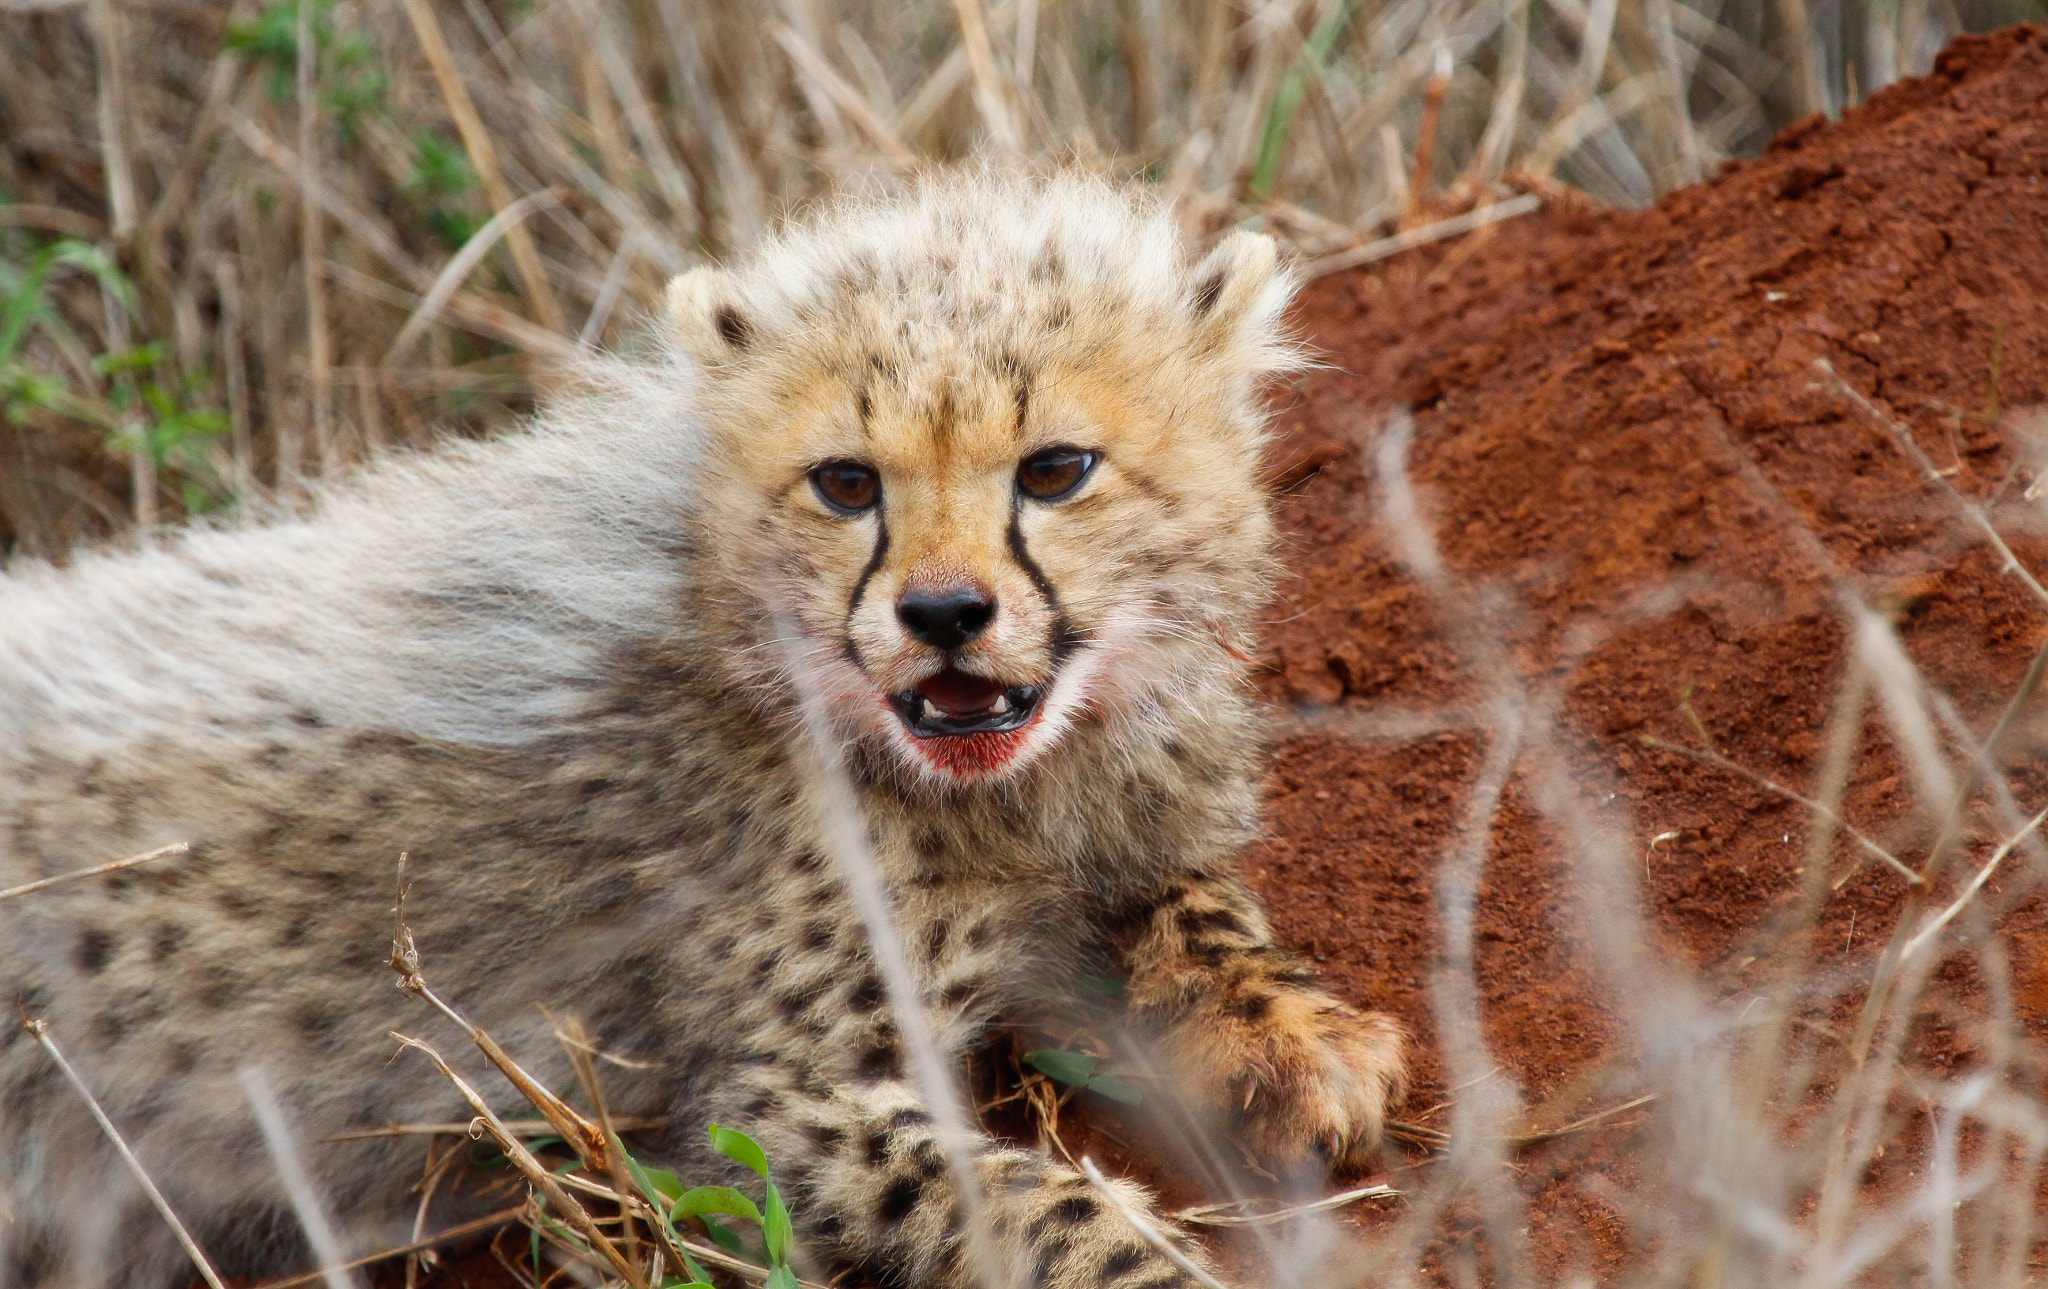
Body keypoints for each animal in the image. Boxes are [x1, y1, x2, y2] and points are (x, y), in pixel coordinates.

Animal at [0, 171, 1404, 1289]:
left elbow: (1199, 895)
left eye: (1055, 469)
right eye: (846, 482)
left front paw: (1292, 1033)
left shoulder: (1122, 825)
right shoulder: (776, 1104)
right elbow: (1034, 1199)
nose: (944, 613)